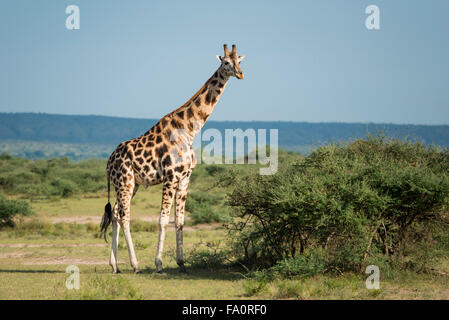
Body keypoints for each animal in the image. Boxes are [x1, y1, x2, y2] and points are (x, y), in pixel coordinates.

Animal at [100, 43, 245, 274]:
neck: (189, 129)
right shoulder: (170, 176)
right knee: (124, 216)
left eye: (239, 61)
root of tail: (108, 163)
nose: (240, 74)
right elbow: (162, 219)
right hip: (124, 182)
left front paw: (181, 262)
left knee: (114, 213)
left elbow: (180, 221)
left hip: (131, 184)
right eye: (225, 62)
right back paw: (135, 265)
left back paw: (115, 266)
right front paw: (159, 264)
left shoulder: (185, 177)